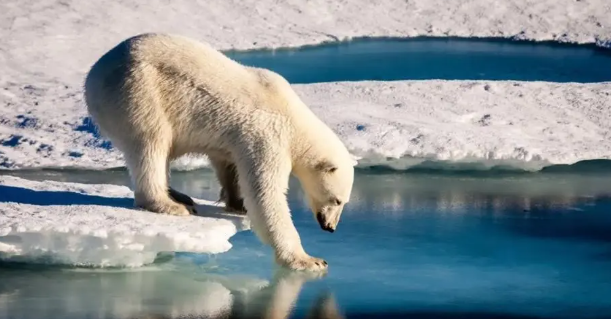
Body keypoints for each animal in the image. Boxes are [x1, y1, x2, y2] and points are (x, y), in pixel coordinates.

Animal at [83, 33, 356, 272]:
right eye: (337, 200)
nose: (330, 227)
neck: (294, 118)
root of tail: (93, 75)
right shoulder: (268, 135)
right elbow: (266, 194)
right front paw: (309, 260)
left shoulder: (237, 139)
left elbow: (229, 164)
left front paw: (237, 203)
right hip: (138, 92)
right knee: (151, 143)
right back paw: (170, 204)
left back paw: (179, 195)